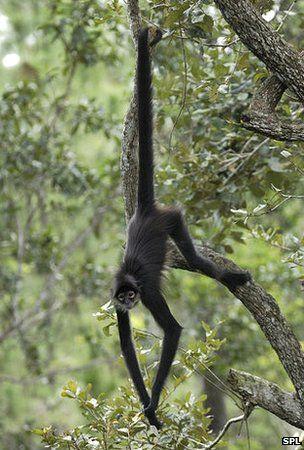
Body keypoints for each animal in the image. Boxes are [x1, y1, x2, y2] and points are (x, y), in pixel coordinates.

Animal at [113, 27, 251, 428]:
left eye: (133, 294)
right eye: (123, 298)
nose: (129, 301)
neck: (128, 279)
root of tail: (145, 212)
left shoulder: (147, 289)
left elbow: (173, 331)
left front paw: (154, 403)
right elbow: (126, 346)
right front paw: (149, 408)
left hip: (172, 219)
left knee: (194, 257)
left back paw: (227, 276)